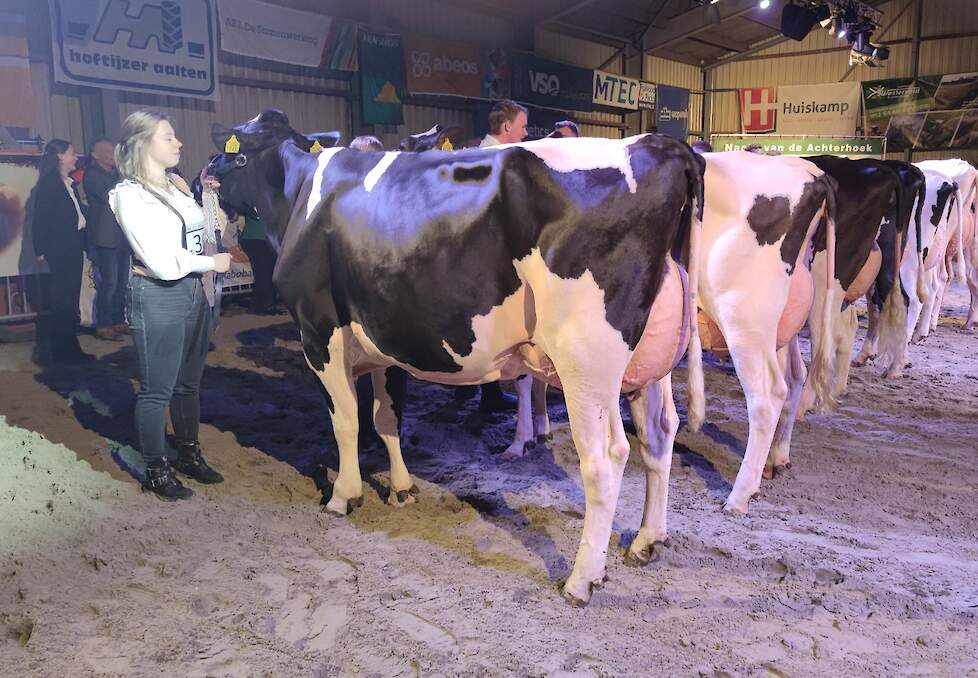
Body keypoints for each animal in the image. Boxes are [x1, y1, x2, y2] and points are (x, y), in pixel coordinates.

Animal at [210, 110, 704, 604]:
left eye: (233, 151)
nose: (207, 173)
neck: (299, 192)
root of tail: (663, 145)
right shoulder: (385, 341)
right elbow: (387, 418)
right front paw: (402, 489)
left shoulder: (319, 330)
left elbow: (346, 420)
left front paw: (343, 496)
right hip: (647, 363)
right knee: (660, 434)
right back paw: (646, 541)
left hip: (586, 359)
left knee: (605, 459)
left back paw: (581, 579)